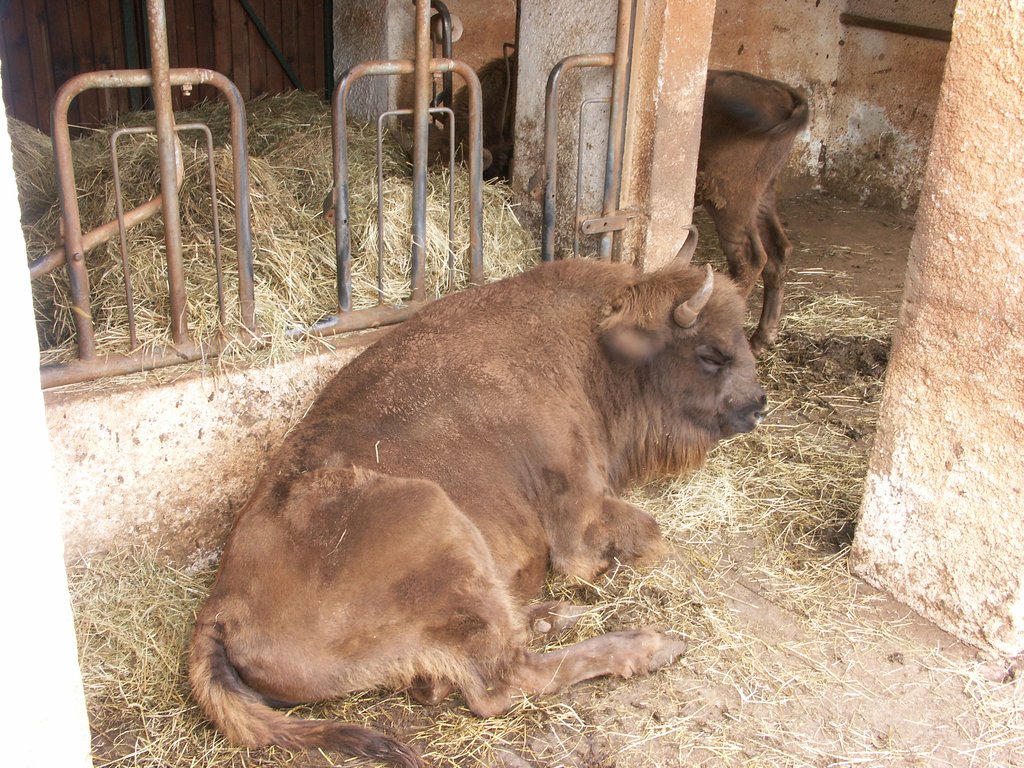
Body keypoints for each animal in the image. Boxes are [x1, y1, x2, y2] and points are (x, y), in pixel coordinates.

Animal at [189, 228, 767, 767]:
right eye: (711, 353)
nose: (758, 405)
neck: (591, 349)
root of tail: (220, 609)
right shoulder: (578, 521)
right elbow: (648, 539)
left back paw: (550, 616)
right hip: (433, 516)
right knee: (504, 680)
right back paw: (651, 645)